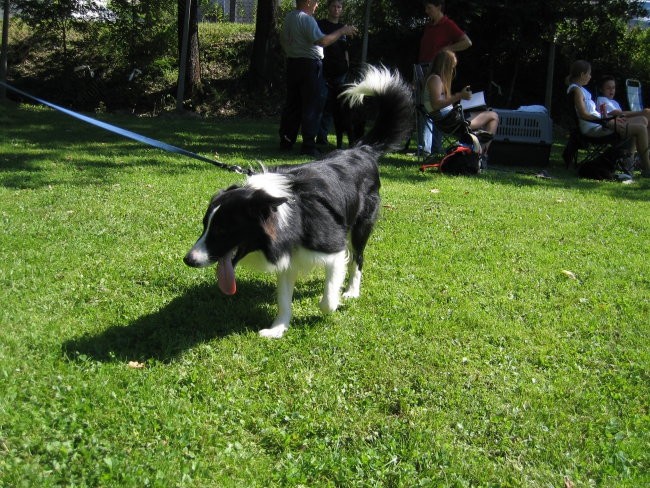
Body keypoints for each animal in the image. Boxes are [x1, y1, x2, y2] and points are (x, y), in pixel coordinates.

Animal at [184, 66, 410, 338]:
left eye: (222, 229)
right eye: (204, 225)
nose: (188, 260)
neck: (286, 214)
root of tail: (362, 150)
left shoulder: (333, 249)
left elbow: (328, 296)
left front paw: (333, 302)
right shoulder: (286, 256)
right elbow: (283, 298)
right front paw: (278, 328)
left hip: (361, 224)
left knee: (358, 258)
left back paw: (351, 290)